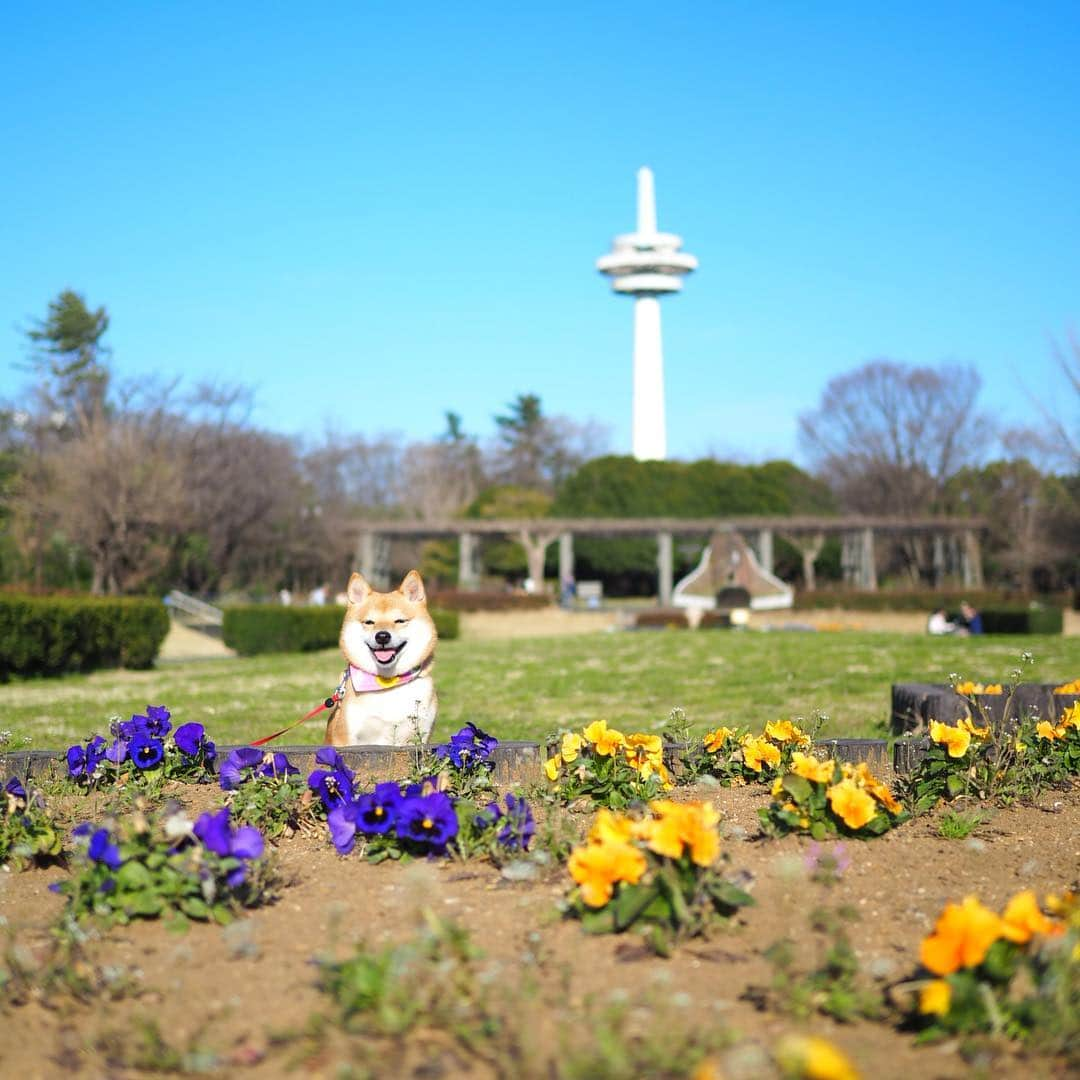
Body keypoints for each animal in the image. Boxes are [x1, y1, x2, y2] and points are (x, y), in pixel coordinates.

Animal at [324, 570, 438, 747]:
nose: (382, 636)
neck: (386, 682)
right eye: (369, 622)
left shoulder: (418, 736)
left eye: (399, 621)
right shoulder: (346, 737)